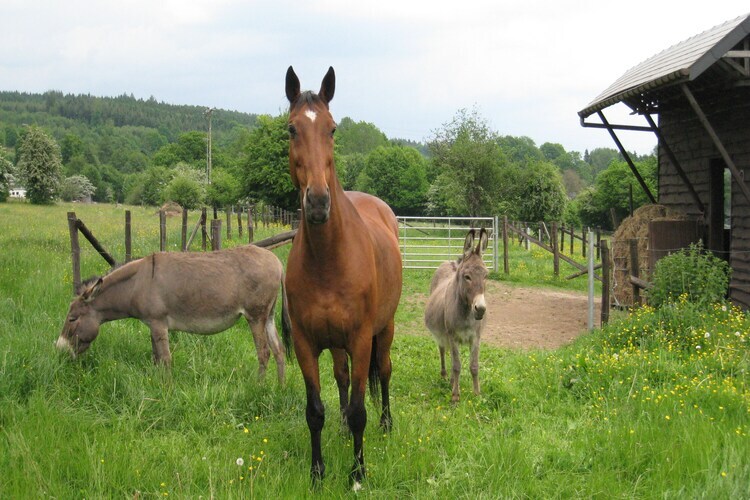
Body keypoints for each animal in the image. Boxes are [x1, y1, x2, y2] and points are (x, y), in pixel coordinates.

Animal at [56, 245, 290, 383]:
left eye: (72, 319)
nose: (60, 350)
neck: (137, 284)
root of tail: (278, 263)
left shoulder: (159, 322)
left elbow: (165, 358)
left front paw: (167, 389)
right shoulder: (152, 324)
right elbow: (156, 357)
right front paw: (157, 383)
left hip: (255, 316)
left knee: (264, 353)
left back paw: (259, 388)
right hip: (268, 317)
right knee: (279, 350)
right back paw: (278, 389)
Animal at [282, 66, 403, 488]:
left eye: (332, 129)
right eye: (292, 129)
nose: (318, 203)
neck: (328, 261)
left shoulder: (361, 339)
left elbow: (361, 409)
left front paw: (357, 473)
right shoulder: (306, 343)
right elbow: (315, 410)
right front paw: (317, 472)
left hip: (385, 328)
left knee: (384, 372)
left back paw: (386, 423)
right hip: (335, 344)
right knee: (342, 378)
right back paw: (341, 426)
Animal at [424, 229, 489, 402]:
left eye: (486, 276)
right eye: (467, 277)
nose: (480, 309)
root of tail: (449, 262)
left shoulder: (476, 337)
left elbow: (474, 366)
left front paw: (477, 394)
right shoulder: (453, 337)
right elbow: (457, 366)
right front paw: (455, 396)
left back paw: (452, 381)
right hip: (442, 335)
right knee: (442, 351)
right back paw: (445, 376)